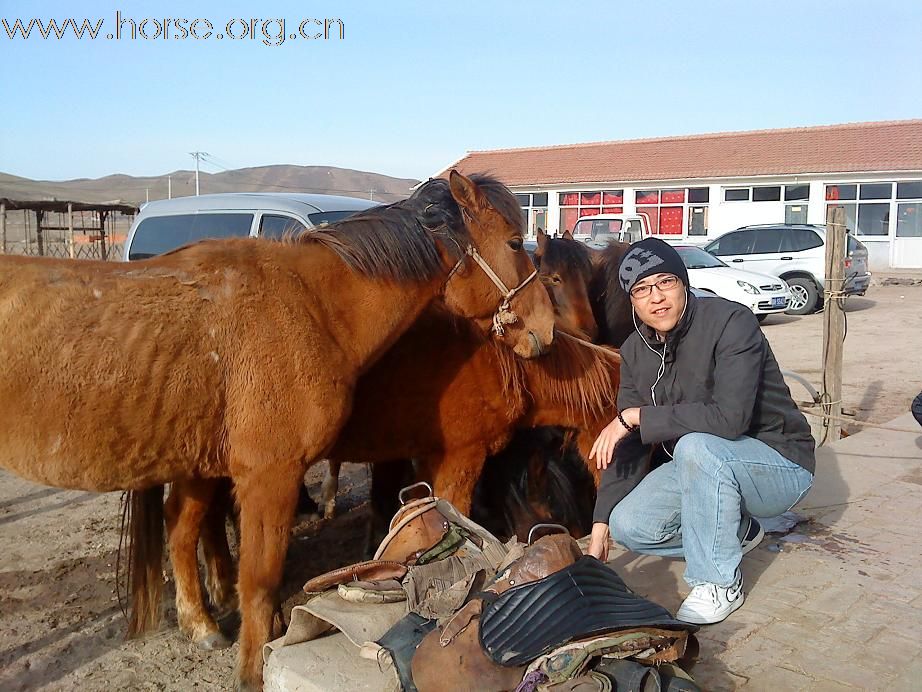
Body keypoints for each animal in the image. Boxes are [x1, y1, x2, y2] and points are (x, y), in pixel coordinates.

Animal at [0, 173, 548, 692]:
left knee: (182, 530)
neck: (313, 307)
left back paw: (200, 623)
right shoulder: (271, 477)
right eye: (515, 242)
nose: (544, 331)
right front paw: (251, 672)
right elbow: (260, 579)